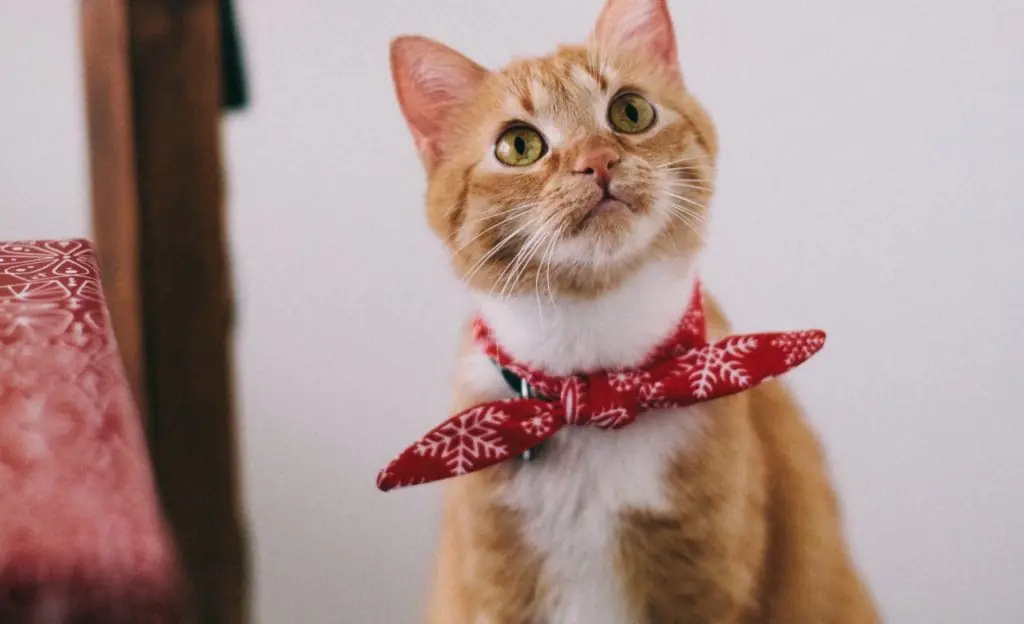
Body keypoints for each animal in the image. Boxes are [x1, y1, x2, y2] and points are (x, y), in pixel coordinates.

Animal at [388, 0, 877, 621]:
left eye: (630, 111)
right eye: (518, 146)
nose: (597, 160)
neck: (598, 390)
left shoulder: (705, 582)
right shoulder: (497, 588)